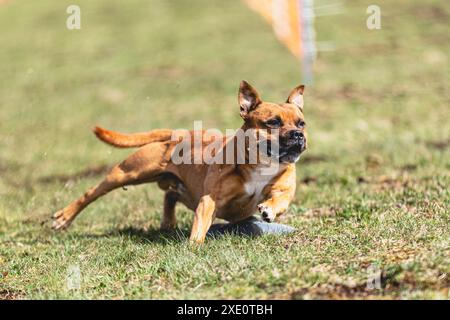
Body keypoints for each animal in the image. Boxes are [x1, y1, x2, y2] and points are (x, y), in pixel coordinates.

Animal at [51, 80, 306, 242]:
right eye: (273, 122)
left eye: (301, 123)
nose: (298, 135)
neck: (261, 163)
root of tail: (178, 134)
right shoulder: (209, 200)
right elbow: (201, 224)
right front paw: (194, 246)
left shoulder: (284, 187)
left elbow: (281, 200)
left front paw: (269, 210)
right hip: (128, 173)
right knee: (92, 193)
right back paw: (63, 218)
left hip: (183, 190)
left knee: (170, 193)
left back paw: (168, 222)